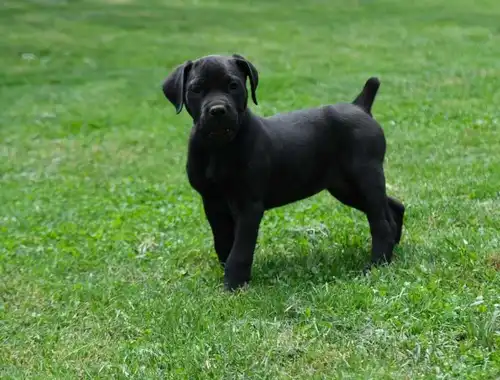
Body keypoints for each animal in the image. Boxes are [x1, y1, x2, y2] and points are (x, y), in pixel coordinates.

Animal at [162, 54, 404, 290]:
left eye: (233, 85)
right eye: (196, 89)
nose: (218, 110)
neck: (219, 148)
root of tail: (360, 106)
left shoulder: (249, 206)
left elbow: (240, 249)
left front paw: (234, 285)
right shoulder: (212, 202)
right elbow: (223, 242)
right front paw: (229, 276)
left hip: (365, 176)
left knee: (381, 223)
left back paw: (376, 264)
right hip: (345, 187)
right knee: (393, 207)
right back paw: (394, 247)